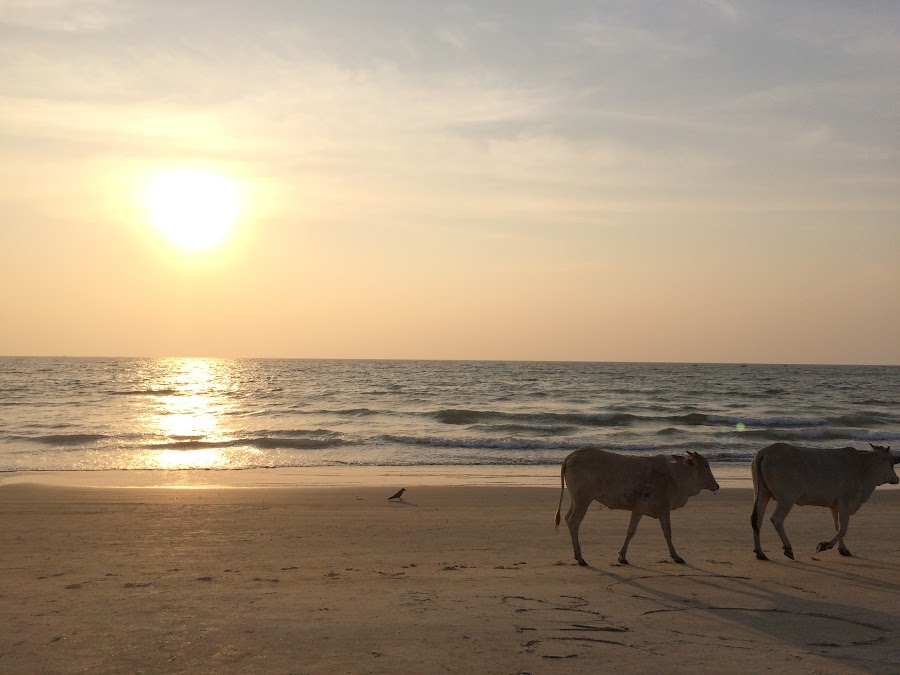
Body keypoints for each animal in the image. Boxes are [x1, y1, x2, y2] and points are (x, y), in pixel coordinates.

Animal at [552, 448, 720, 572]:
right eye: (706, 465)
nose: (717, 485)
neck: (677, 477)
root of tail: (572, 455)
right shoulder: (664, 510)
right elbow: (668, 533)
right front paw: (676, 556)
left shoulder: (638, 510)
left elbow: (630, 532)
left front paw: (622, 557)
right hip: (583, 499)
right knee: (573, 522)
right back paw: (580, 558)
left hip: (576, 500)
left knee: (567, 517)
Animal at [748, 440, 896, 564]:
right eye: (891, 464)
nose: (897, 478)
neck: (863, 467)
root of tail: (765, 451)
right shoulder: (844, 503)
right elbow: (843, 529)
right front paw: (824, 546)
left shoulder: (835, 506)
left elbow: (837, 526)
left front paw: (843, 549)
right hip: (786, 499)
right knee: (776, 519)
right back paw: (788, 549)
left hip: (762, 494)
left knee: (757, 520)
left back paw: (760, 553)